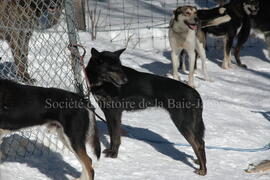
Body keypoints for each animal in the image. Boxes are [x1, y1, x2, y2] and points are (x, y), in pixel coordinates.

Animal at [86, 48, 207, 176]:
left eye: (120, 67)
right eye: (114, 68)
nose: (126, 81)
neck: (102, 82)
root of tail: (196, 94)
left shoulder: (115, 113)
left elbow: (116, 137)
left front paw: (114, 154)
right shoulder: (108, 112)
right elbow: (112, 135)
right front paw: (111, 150)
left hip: (182, 123)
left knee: (199, 144)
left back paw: (203, 170)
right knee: (200, 142)